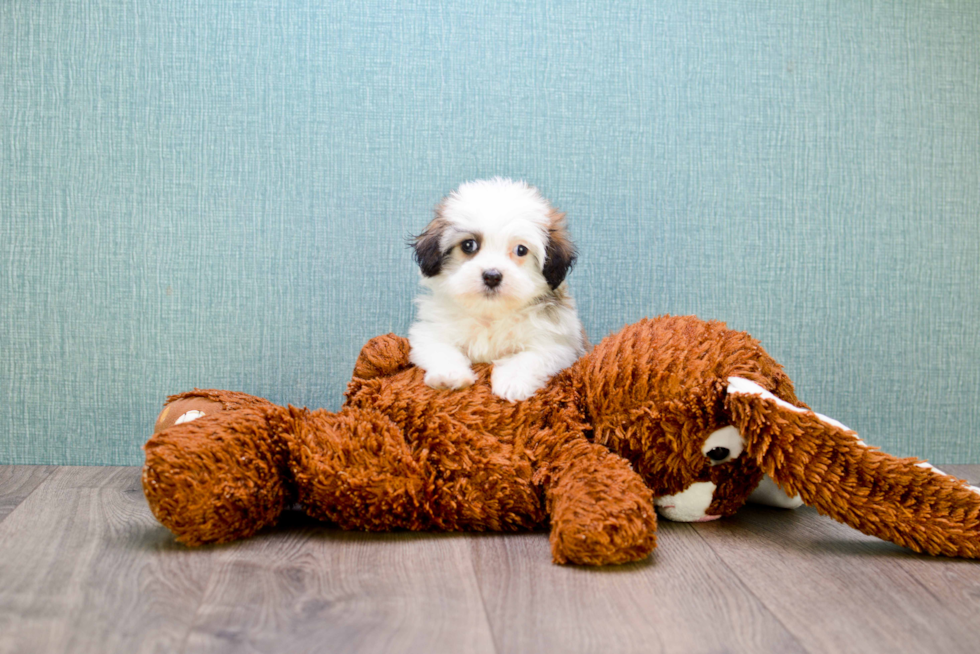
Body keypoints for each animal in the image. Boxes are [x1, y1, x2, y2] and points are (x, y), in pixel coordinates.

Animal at [410, 181, 584, 404]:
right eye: (469, 245)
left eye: (521, 250)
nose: (492, 276)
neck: (491, 315)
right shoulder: (429, 331)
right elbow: (440, 348)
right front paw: (449, 375)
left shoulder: (557, 344)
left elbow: (529, 357)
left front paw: (512, 383)